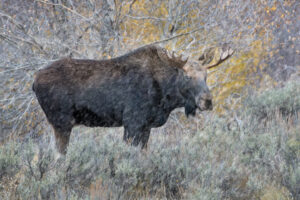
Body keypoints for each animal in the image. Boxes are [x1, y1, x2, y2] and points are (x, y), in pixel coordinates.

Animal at [32, 44, 234, 154]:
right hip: (62, 122)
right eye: (187, 76)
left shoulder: (146, 126)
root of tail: (34, 81)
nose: (207, 100)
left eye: (206, 75)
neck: (166, 98)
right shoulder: (132, 122)